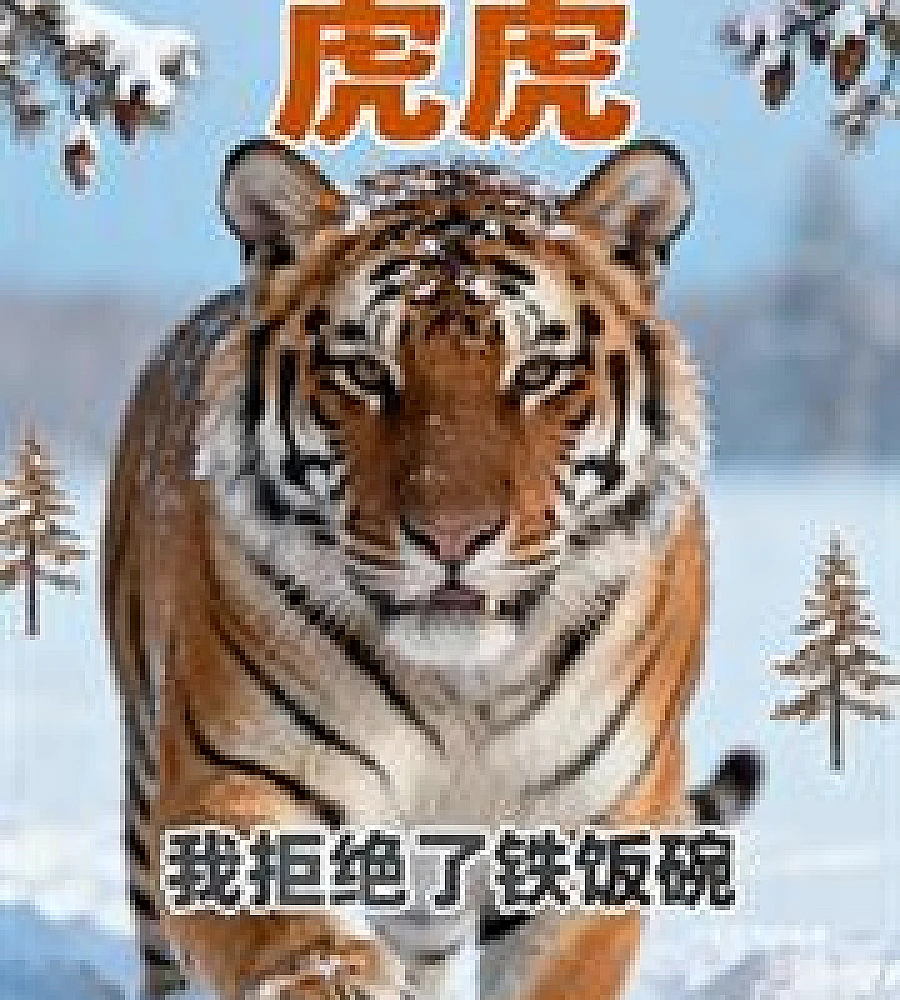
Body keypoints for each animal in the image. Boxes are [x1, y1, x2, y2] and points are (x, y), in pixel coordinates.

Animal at [103, 137, 761, 1000]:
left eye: (538, 373)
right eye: (366, 372)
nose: (452, 537)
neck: (462, 691)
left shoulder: (597, 826)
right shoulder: (230, 778)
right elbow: (295, 938)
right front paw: (339, 980)